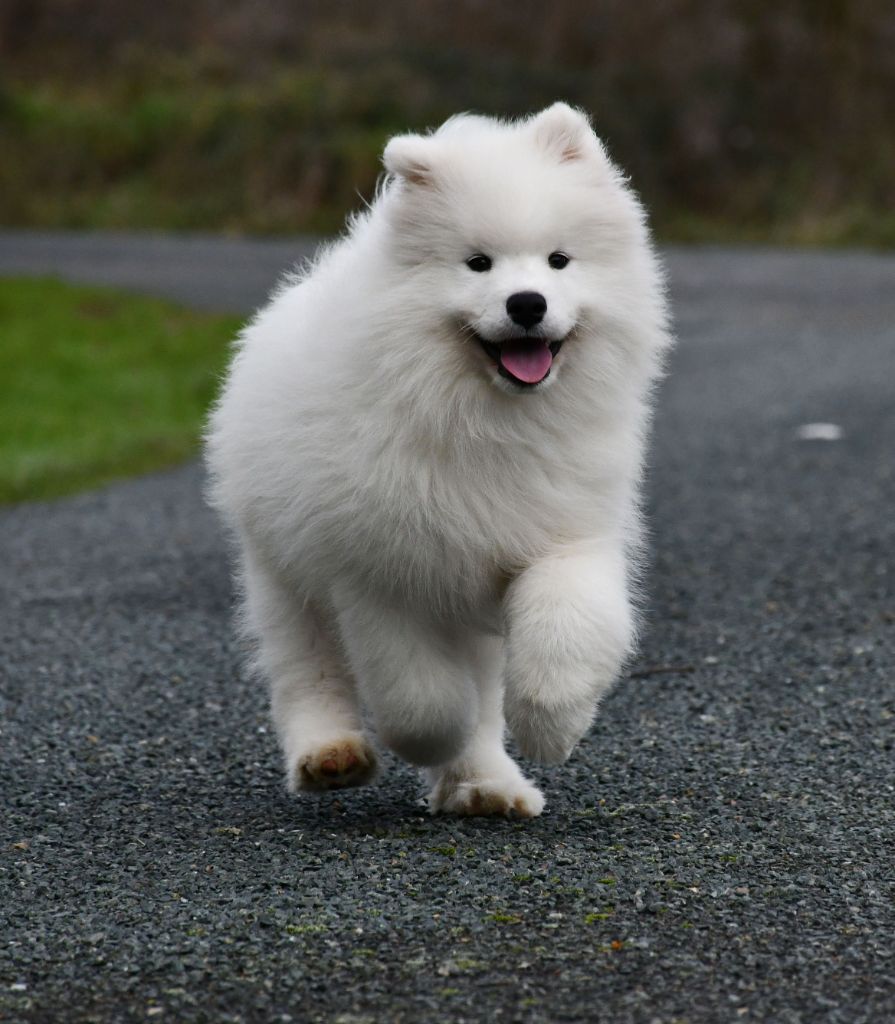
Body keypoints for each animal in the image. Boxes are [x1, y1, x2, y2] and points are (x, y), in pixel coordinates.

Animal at [205, 103, 670, 816]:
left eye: (559, 261)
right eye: (477, 264)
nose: (527, 303)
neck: (485, 422)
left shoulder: (565, 532)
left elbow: (568, 622)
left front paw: (552, 726)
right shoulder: (380, 572)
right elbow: (421, 697)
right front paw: (430, 740)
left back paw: (487, 785)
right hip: (282, 570)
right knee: (305, 666)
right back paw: (330, 756)